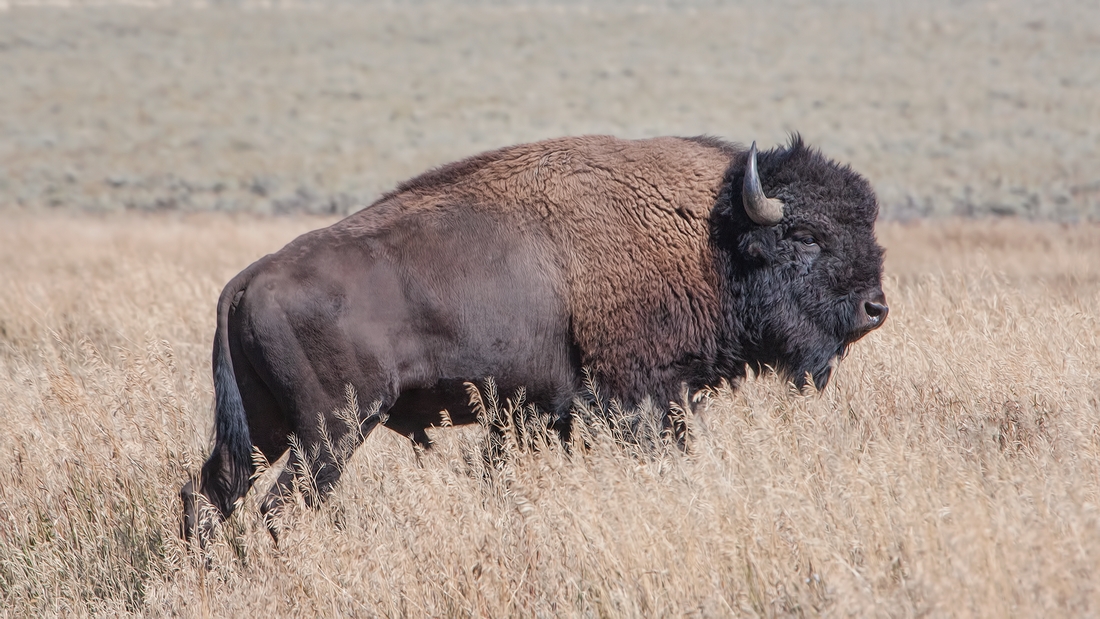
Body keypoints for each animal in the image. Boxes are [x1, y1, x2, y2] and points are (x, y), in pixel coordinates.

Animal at [178, 135, 884, 543]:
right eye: (805, 235)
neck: (709, 235)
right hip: (330, 432)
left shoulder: (540, 416)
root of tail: (246, 280)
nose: (874, 307)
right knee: (277, 509)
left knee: (208, 492)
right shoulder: (648, 400)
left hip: (267, 429)